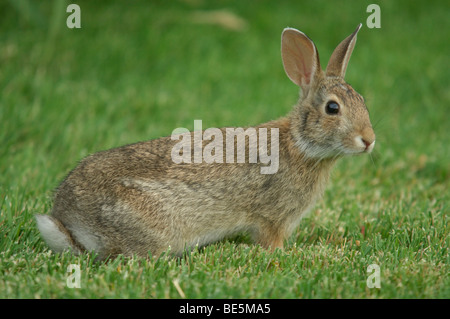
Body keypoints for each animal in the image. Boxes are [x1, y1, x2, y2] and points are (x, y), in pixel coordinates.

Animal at [35, 24, 374, 260]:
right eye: (333, 108)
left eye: (362, 101)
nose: (369, 141)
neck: (300, 144)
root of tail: (67, 218)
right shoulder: (272, 218)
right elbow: (269, 241)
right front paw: (282, 255)